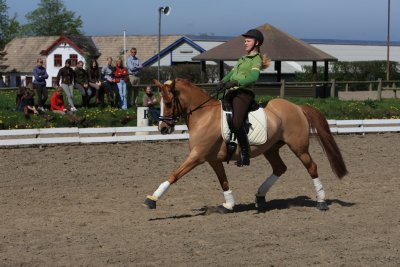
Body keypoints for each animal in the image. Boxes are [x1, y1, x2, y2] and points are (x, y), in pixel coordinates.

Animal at [144, 78, 346, 214]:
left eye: (168, 102)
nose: (163, 128)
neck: (204, 116)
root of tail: (297, 107)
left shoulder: (197, 156)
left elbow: (174, 174)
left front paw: (152, 199)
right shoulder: (212, 159)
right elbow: (223, 181)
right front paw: (228, 205)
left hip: (299, 147)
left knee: (312, 167)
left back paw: (321, 201)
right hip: (271, 148)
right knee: (280, 168)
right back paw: (260, 196)